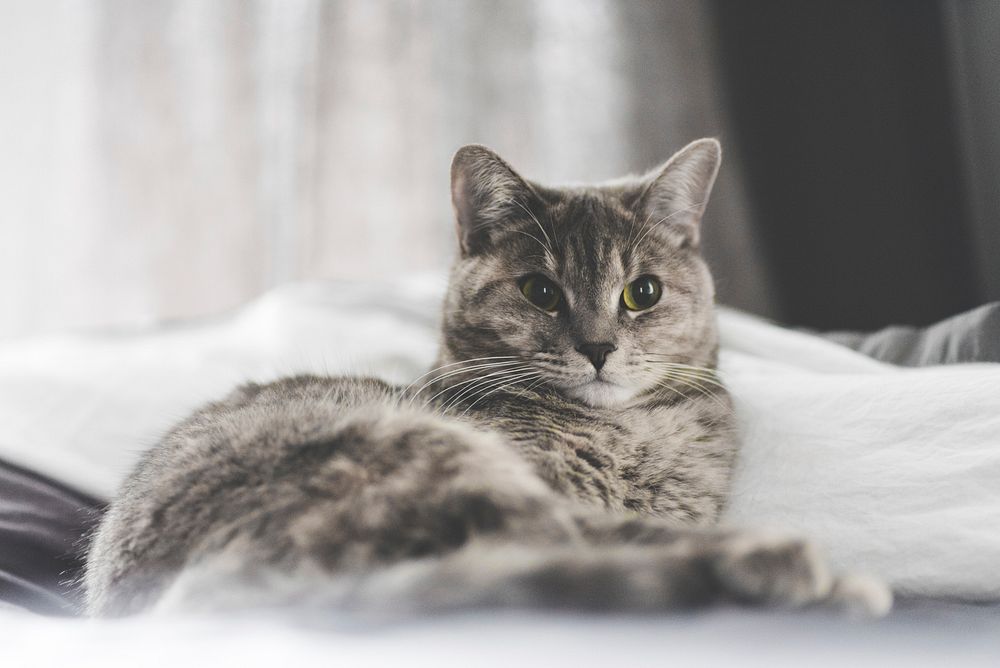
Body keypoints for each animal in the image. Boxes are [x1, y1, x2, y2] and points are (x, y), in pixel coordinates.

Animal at [82, 138, 888, 620]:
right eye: (540, 291)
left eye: (644, 293)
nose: (598, 347)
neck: (625, 435)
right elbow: (624, 533)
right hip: (431, 462)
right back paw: (798, 572)